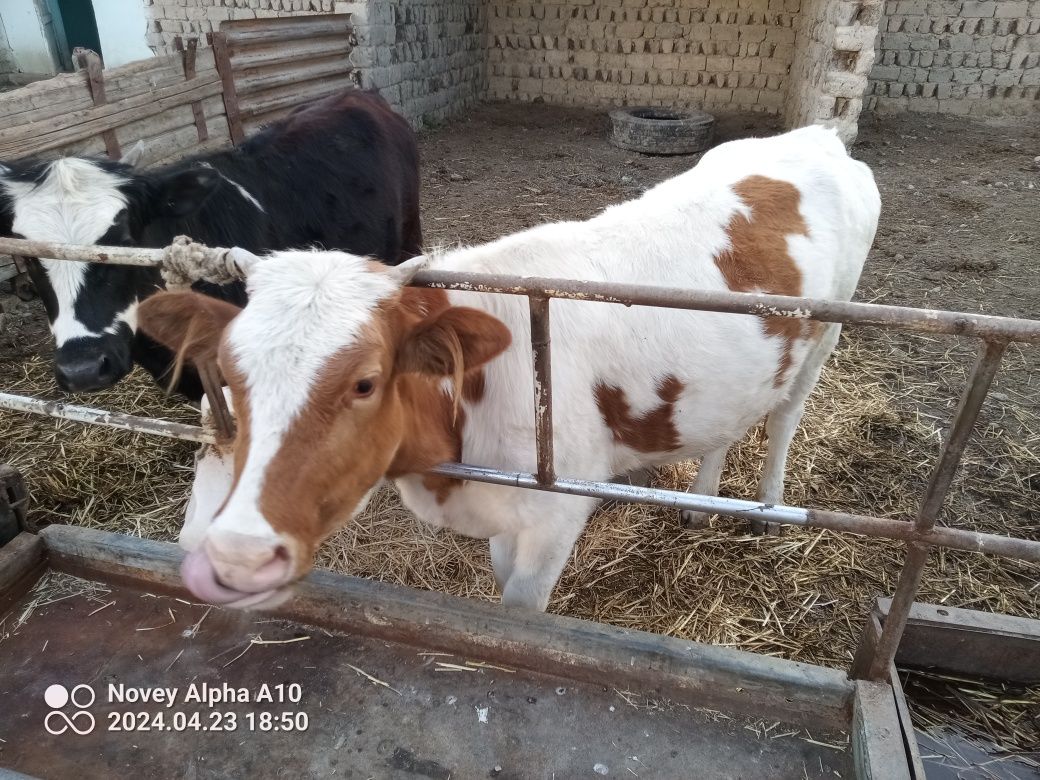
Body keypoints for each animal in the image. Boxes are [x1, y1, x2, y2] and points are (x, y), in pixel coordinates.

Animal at [142, 125, 881, 615]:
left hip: (826, 332)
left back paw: (769, 509)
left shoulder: (558, 513)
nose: (231, 555)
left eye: (365, 382)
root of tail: (816, 134)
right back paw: (701, 503)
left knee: (785, 419)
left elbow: (520, 614)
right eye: (227, 382)